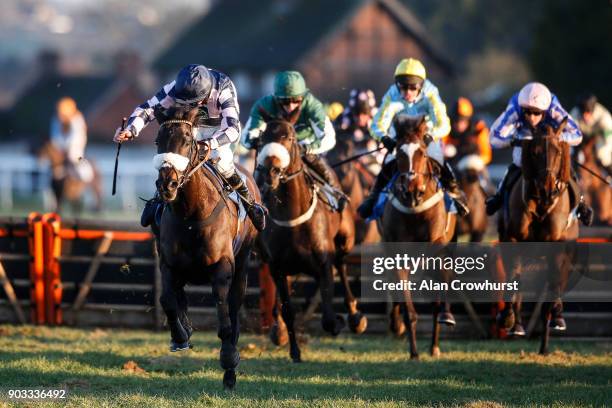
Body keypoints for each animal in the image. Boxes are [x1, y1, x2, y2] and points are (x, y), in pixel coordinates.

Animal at [154, 107, 260, 388]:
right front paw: (180, 335)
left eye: (187, 141)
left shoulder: (222, 267)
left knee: (234, 306)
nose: (167, 185)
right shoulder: (169, 263)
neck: (191, 215)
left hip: (243, 261)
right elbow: (167, 299)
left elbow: (224, 316)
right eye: (158, 141)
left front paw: (229, 360)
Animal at [256, 110, 366, 362]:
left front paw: (340, 322)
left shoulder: (323, 264)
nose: (270, 172)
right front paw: (294, 350)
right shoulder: (277, 268)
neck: (292, 219)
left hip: (344, 240)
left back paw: (355, 316)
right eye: (262, 138)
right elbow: (288, 310)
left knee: (341, 265)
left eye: (290, 137)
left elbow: (328, 317)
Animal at [380, 114, 456, 356]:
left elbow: (439, 293)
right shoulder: (397, 252)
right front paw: (413, 352)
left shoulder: (437, 247)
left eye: (422, 152)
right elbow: (407, 306)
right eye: (399, 153)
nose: (412, 191)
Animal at [498, 118, 580, 354]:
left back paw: (554, 320)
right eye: (534, 151)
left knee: (559, 280)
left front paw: (553, 318)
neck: (542, 205)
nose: (546, 188)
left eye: (558, 152)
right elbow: (513, 277)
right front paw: (509, 318)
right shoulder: (512, 240)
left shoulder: (557, 247)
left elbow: (554, 282)